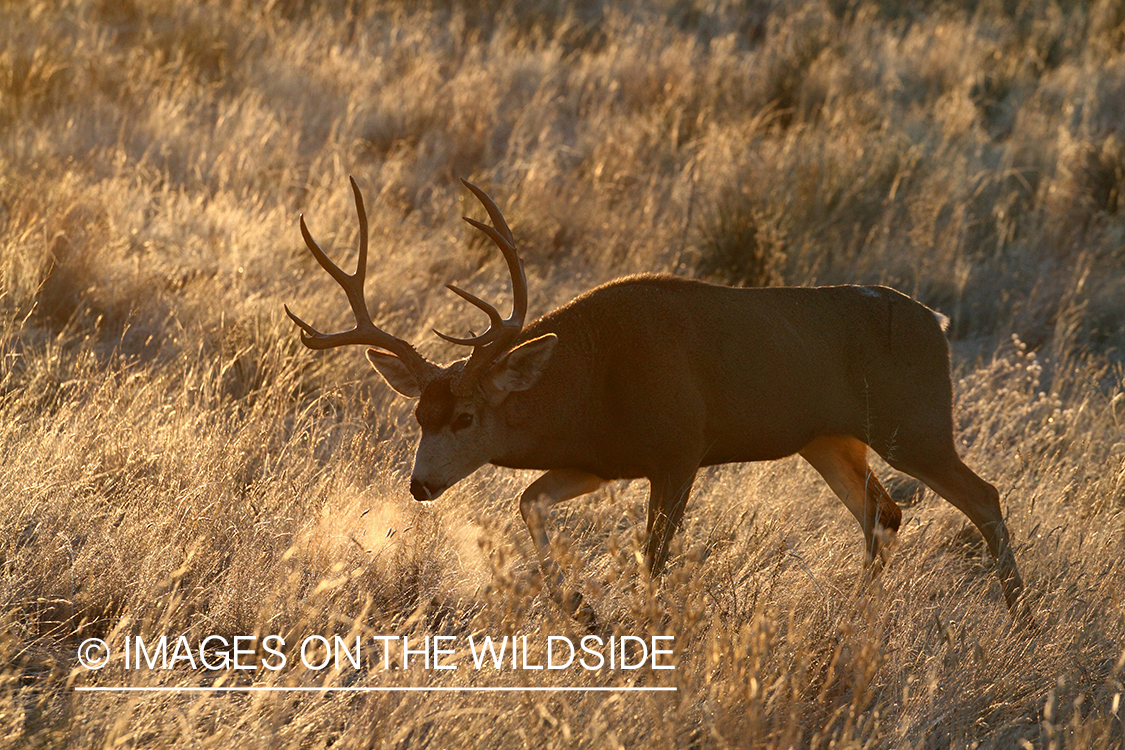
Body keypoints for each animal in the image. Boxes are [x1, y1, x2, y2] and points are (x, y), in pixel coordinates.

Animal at [283, 176, 1030, 620]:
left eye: (466, 416)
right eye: (418, 415)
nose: (420, 485)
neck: (592, 382)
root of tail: (937, 323)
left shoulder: (679, 448)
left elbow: (652, 558)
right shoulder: (598, 460)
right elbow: (529, 502)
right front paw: (580, 607)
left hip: (916, 422)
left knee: (982, 496)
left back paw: (1018, 612)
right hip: (828, 438)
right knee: (882, 512)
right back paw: (856, 616)